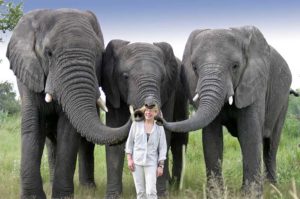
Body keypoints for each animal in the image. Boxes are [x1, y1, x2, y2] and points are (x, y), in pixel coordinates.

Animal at [6, 9, 131, 199]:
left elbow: (68, 131)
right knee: (51, 143)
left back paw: (88, 189)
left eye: (98, 54)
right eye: (48, 53)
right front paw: (32, 197)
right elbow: (33, 125)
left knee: (85, 143)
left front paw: (62, 197)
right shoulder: (28, 73)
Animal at [102, 40, 189, 197]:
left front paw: (162, 194)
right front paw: (112, 196)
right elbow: (115, 138)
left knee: (179, 140)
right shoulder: (112, 92)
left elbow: (164, 137)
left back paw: (174, 184)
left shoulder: (169, 91)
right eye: (125, 76)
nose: (147, 106)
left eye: (162, 79)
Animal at [161, 25, 292, 195]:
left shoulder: (254, 83)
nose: (156, 116)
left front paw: (250, 195)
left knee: (271, 144)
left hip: (283, 101)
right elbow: (211, 137)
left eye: (235, 66)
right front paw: (215, 193)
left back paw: (273, 188)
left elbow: (249, 133)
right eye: (194, 67)